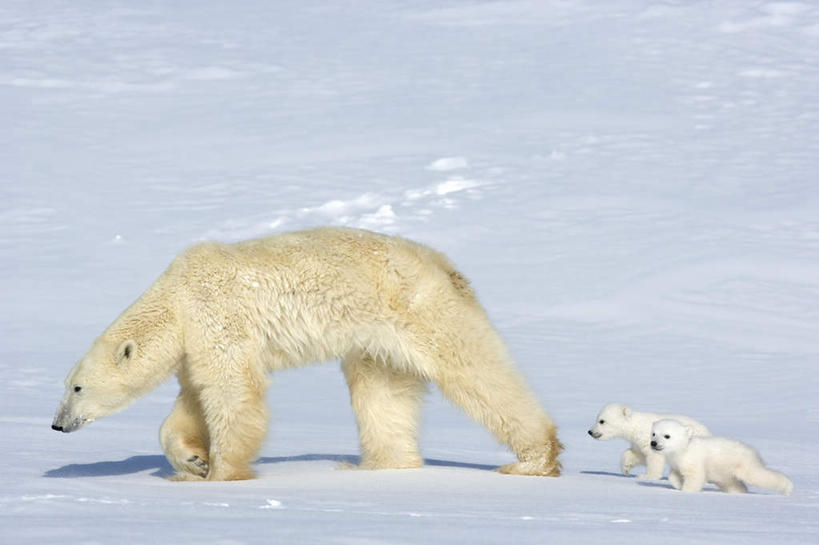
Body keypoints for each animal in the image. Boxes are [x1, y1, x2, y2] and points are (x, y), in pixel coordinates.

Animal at [51, 225, 564, 480]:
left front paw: (223, 473)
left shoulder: (216, 315)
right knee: (380, 394)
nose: (57, 425)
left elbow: (233, 392)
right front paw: (193, 462)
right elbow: (193, 401)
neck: (175, 298)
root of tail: (445, 265)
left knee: (474, 371)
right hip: (377, 342)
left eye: (76, 387)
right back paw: (376, 466)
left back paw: (532, 459)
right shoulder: (195, 345)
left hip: (420, 310)